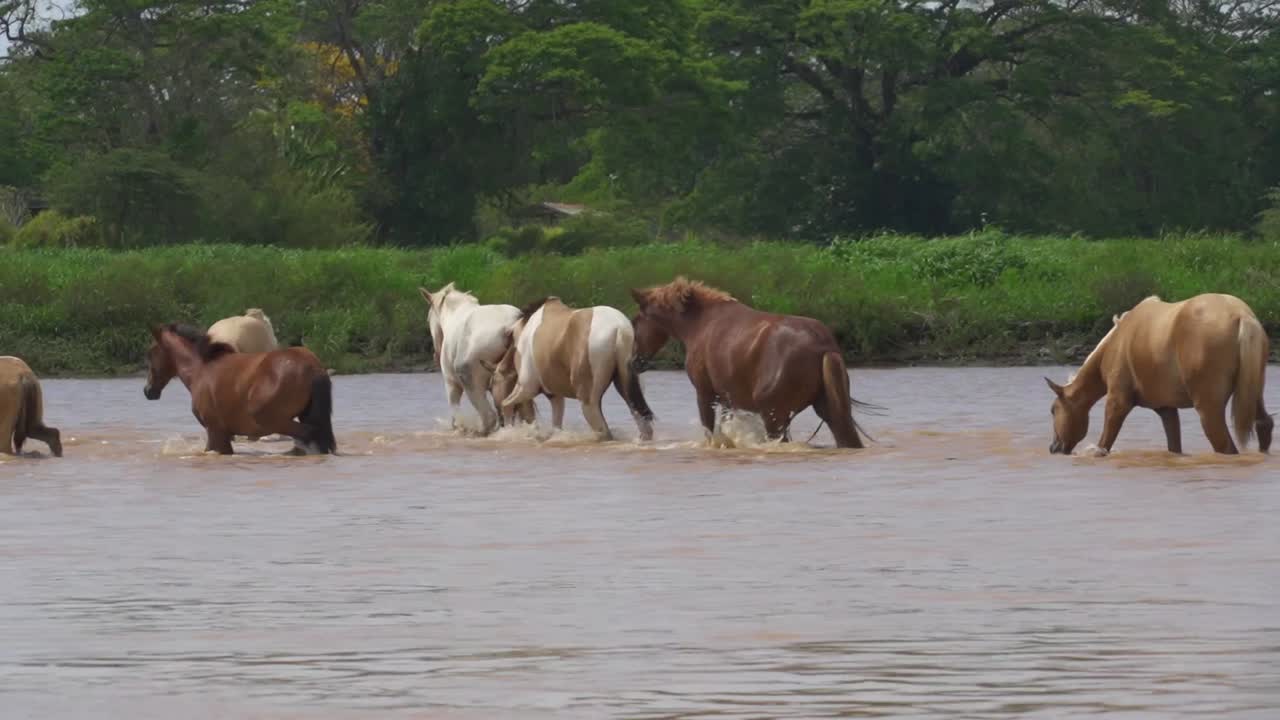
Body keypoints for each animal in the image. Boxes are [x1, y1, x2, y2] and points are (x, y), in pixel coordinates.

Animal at [144, 324, 336, 455]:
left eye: (151, 352)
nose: (148, 390)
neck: (200, 369)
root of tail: (313, 368)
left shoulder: (215, 431)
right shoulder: (224, 434)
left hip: (271, 420)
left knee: (308, 434)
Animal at [419, 282, 533, 434]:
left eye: (428, 319)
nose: (435, 356)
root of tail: (510, 326)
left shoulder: (452, 384)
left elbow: (456, 417)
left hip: (472, 384)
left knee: (490, 418)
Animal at [499, 297, 654, 441]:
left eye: (510, 338)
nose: (502, 368)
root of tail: (619, 330)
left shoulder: (527, 387)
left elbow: (505, 404)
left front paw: (507, 433)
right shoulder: (554, 395)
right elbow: (556, 424)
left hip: (589, 402)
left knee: (603, 432)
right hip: (628, 389)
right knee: (644, 424)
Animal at [630, 277, 867, 448]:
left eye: (635, 321)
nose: (633, 361)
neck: (698, 324)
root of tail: (824, 346)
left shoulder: (705, 394)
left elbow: (710, 432)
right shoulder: (727, 400)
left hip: (775, 416)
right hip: (829, 410)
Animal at [1046, 293, 1273, 456]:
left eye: (1053, 410)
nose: (1053, 447)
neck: (1116, 342)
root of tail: (1242, 316)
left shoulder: (1118, 401)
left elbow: (1103, 445)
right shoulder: (1166, 409)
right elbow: (1174, 446)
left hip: (1209, 410)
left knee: (1224, 445)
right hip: (1254, 395)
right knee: (1264, 425)